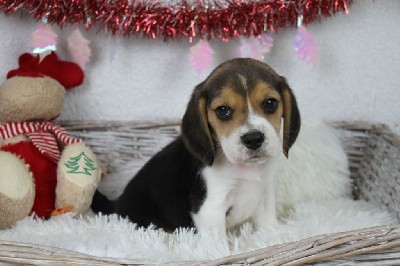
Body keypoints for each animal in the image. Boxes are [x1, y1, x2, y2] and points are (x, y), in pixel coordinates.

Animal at [91, 57, 300, 236]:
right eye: (223, 110)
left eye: (270, 103)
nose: (253, 139)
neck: (245, 170)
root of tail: (117, 205)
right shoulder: (210, 208)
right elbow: (218, 245)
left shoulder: (265, 194)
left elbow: (268, 226)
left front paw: (274, 237)